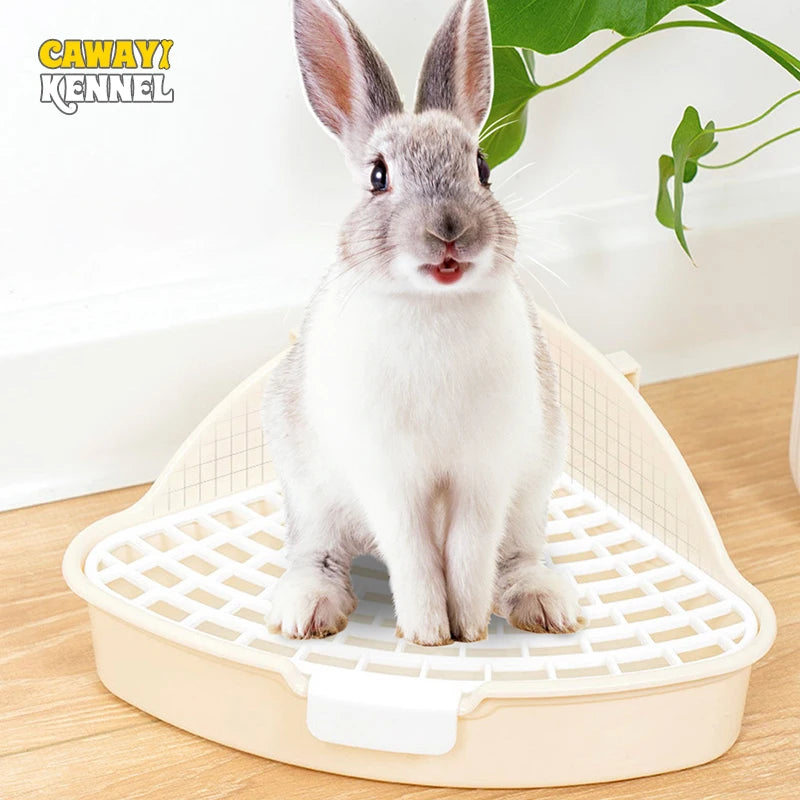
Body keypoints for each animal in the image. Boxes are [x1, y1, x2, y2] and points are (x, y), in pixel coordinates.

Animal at [263, 0, 585, 645]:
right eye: (377, 176)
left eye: (483, 167)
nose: (449, 229)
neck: (433, 305)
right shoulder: (390, 479)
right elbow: (414, 554)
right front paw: (427, 634)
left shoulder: (484, 476)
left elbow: (467, 554)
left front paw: (468, 630)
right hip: (312, 501)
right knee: (317, 554)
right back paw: (306, 612)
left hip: (531, 497)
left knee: (516, 556)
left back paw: (546, 605)